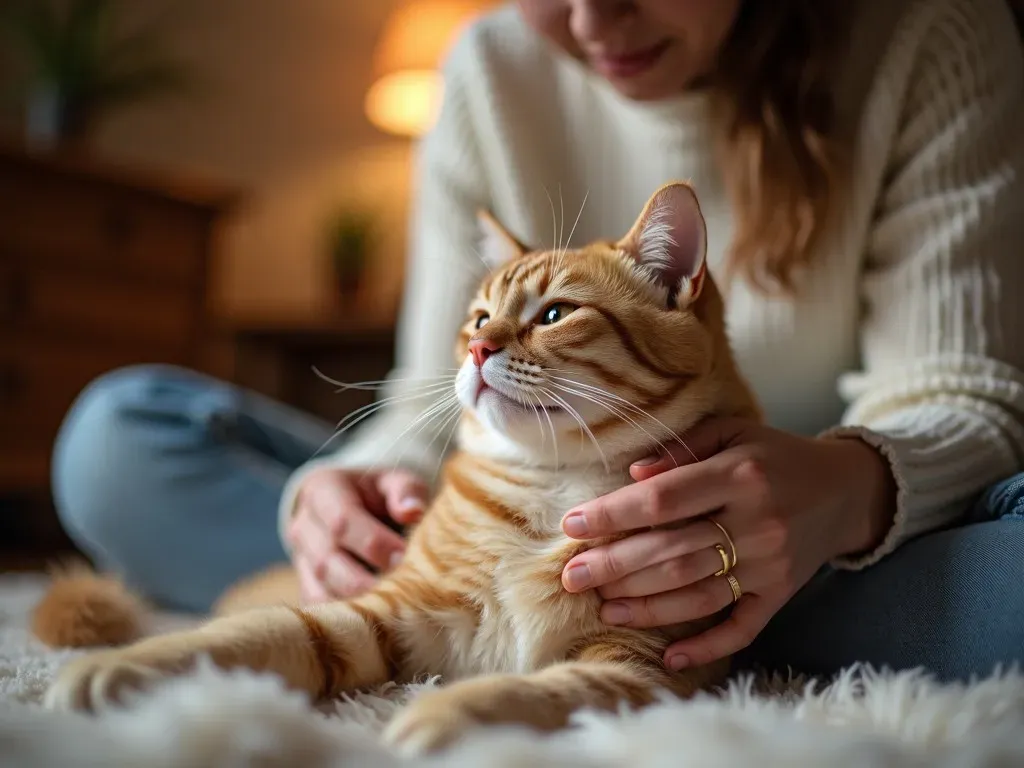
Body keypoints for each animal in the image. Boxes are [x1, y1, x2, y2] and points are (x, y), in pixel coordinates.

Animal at [44, 182, 761, 757]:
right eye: (479, 317)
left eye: (556, 313)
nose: (478, 349)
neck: (554, 484)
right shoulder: (388, 612)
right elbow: (253, 635)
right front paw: (125, 666)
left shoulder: (645, 667)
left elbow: (546, 692)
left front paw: (446, 712)